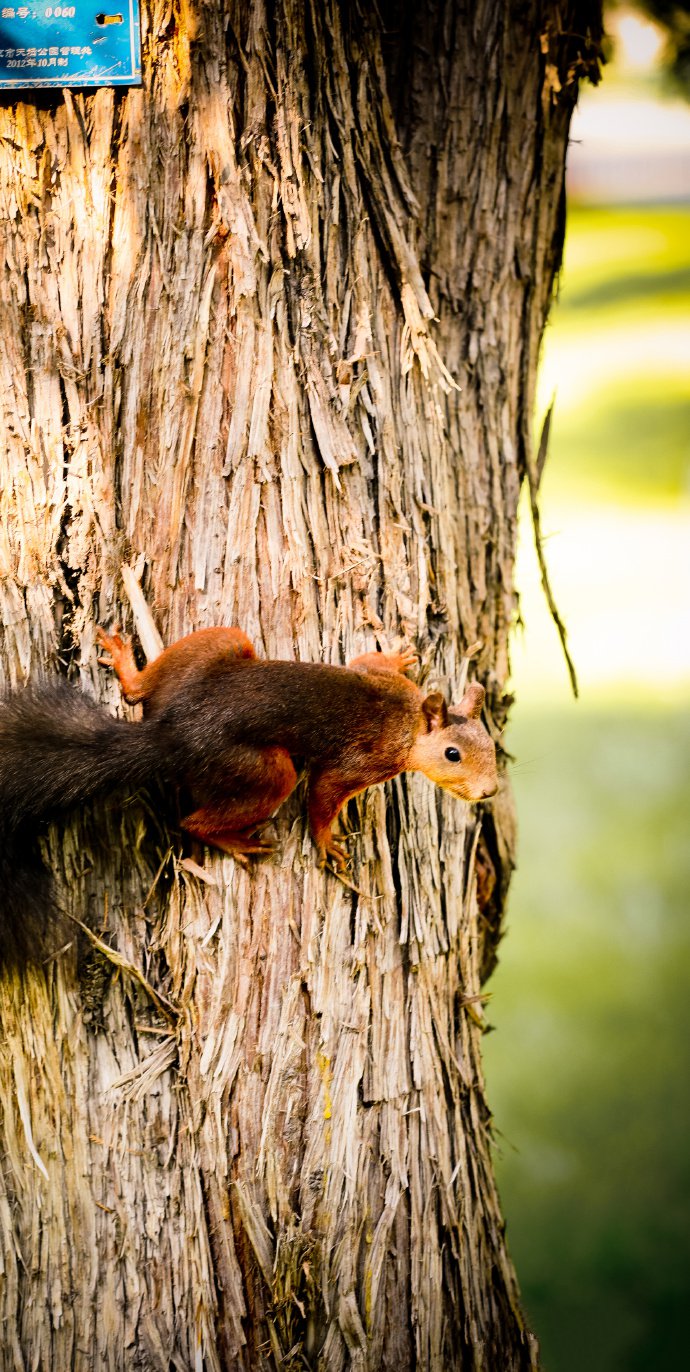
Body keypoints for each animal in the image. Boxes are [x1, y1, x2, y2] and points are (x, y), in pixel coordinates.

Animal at [0, 628, 496, 960]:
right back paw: (235, 841)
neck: (408, 720)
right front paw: (328, 844)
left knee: (142, 688)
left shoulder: (382, 681)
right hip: (265, 771)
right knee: (194, 820)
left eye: (492, 745)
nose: (489, 791)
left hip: (217, 648)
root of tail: (170, 734)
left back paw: (127, 665)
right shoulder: (358, 763)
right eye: (452, 754)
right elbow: (324, 794)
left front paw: (397, 653)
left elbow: (366, 661)